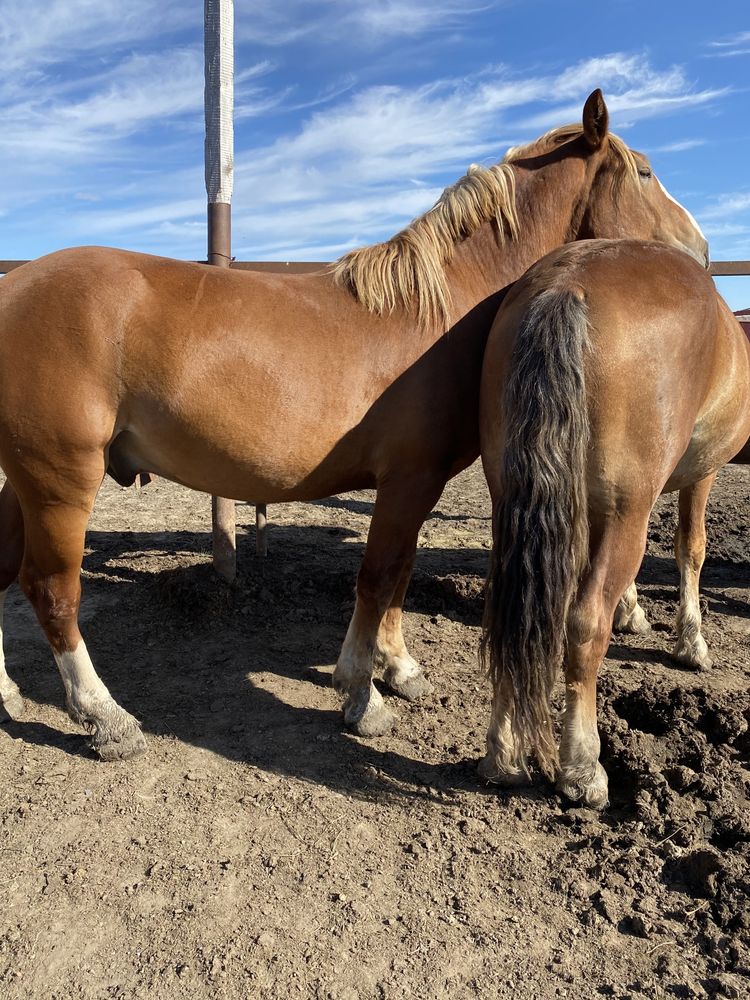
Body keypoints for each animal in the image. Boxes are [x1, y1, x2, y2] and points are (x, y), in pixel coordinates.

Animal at [0, 95, 712, 764]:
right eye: (645, 171)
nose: (702, 251)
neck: (440, 312)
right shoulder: (407, 480)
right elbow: (376, 577)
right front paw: (362, 695)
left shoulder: (417, 486)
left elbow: (399, 575)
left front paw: (399, 669)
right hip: (61, 478)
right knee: (51, 589)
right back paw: (105, 718)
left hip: (25, 479)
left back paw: (9, 695)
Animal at [482, 238, 750, 808]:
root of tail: (566, 284)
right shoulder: (701, 474)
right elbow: (691, 548)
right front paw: (691, 642)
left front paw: (635, 613)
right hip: (630, 508)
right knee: (583, 626)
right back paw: (582, 767)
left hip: (515, 502)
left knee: (511, 613)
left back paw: (504, 757)